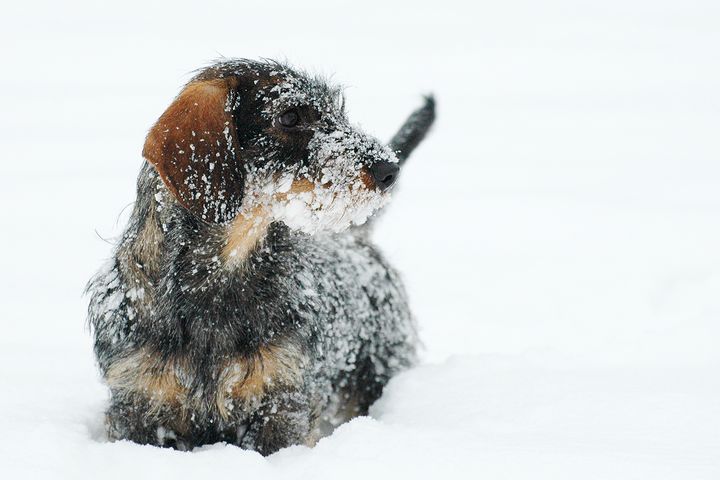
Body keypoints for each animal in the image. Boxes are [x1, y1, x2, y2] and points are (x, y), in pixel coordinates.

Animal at [84, 60, 434, 454]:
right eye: (290, 116)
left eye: (337, 110)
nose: (389, 170)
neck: (221, 272)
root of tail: (355, 236)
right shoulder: (139, 406)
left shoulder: (279, 403)